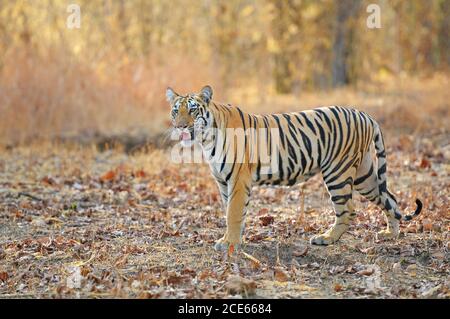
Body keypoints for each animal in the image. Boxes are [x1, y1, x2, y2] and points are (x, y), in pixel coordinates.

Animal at [166, 85, 422, 255]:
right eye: (175, 111)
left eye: (193, 110)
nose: (181, 127)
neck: (207, 138)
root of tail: (365, 114)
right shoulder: (222, 181)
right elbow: (233, 211)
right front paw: (236, 239)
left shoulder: (238, 179)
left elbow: (233, 212)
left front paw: (229, 243)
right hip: (365, 175)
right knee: (390, 198)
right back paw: (390, 234)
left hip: (338, 171)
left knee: (348, 209)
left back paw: (326, 239)